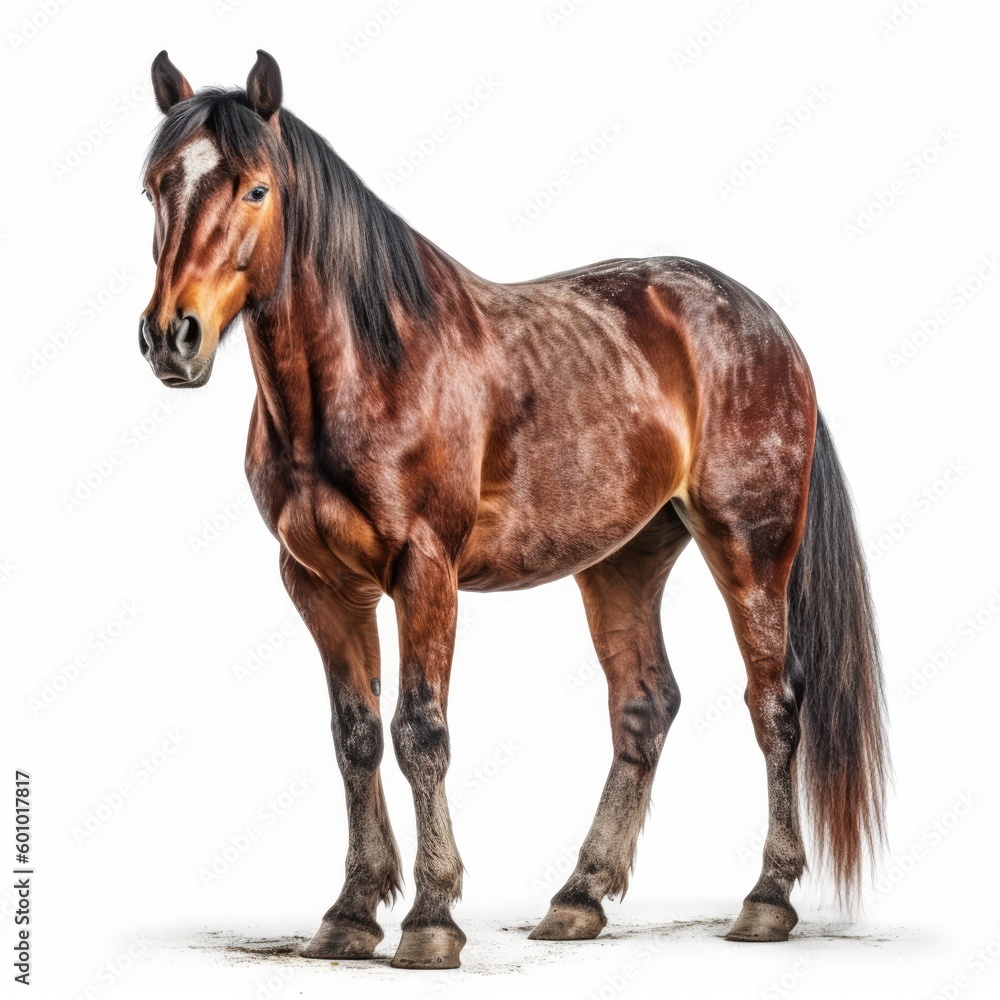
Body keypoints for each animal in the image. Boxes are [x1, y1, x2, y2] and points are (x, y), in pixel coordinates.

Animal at [138, 50, 888, 970]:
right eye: (155, 186)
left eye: (255, 189)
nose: (172, 336)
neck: (371, 365)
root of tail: (765, 324)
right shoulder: (319, 583)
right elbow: (355, 738)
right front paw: (351, 913)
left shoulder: (424, 570)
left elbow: (419, 733)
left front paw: (430, 918)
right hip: (623, 561)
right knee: (645, 707)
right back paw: (579, 897)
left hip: (749, 545)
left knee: (774, 703)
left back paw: (767, 899)